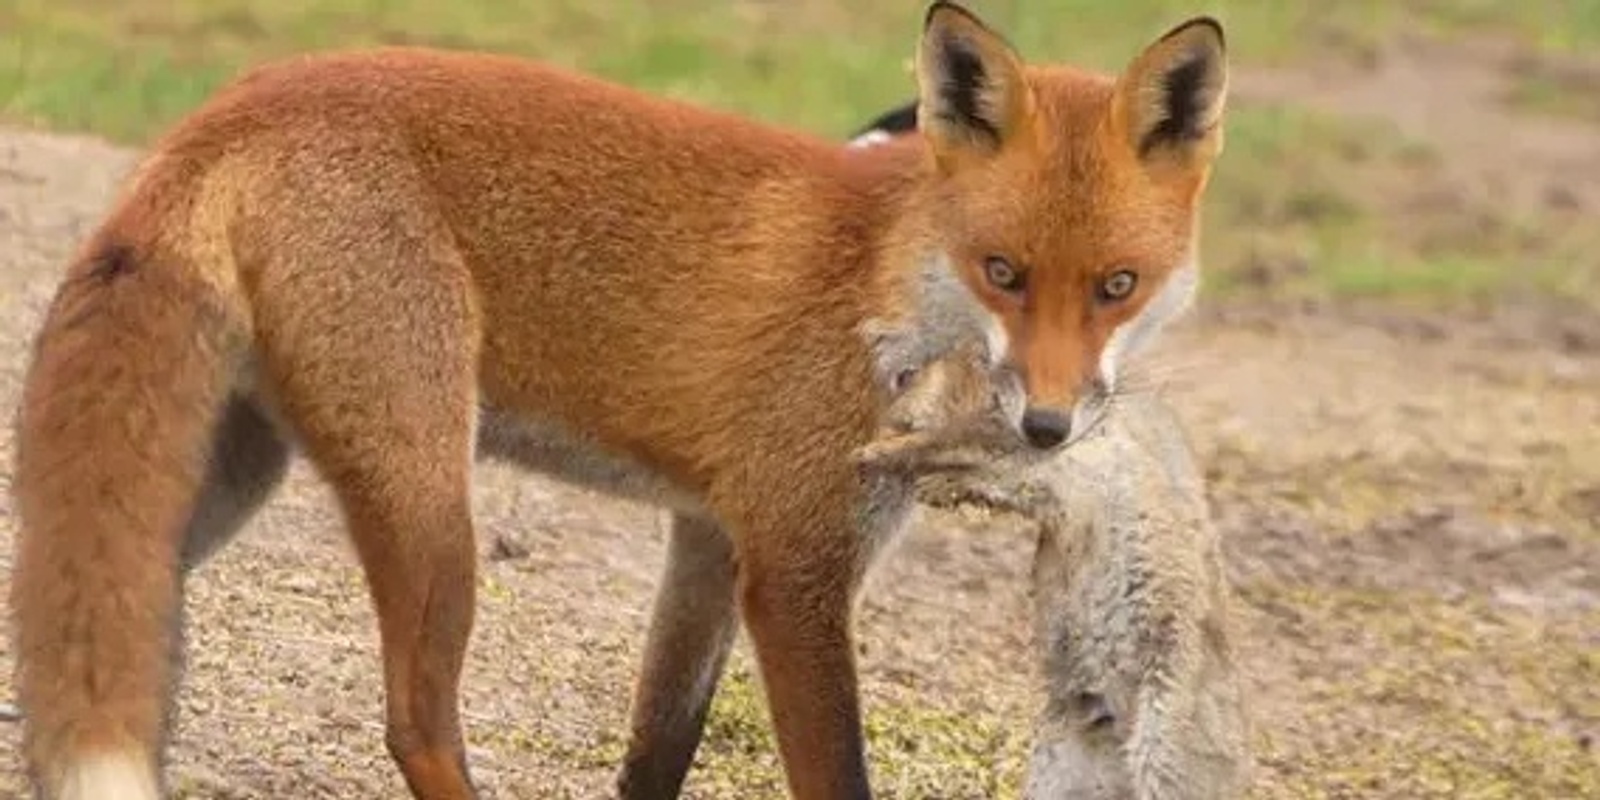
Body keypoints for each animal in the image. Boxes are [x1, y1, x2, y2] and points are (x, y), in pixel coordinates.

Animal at [9, 3, 1222, 796]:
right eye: (1002, 271)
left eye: (1117, 286)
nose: (1047, 427)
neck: (886, 281)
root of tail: (229, 109)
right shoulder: (793, 567)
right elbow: (836, 772)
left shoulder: (708, 543)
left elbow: (656, 753)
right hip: (429, 504)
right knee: (415, 723)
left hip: (215, 491)